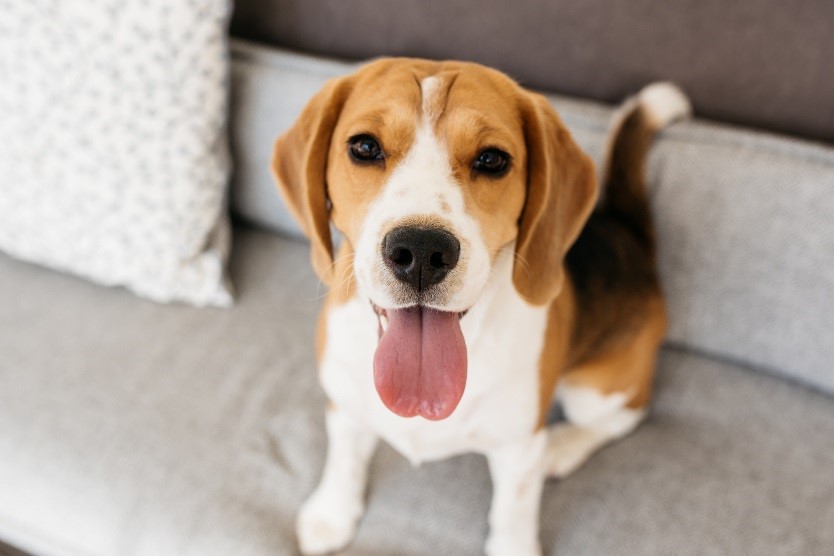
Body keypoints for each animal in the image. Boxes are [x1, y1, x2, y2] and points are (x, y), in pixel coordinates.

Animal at [272, 57, 688, 556]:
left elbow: (513, 513)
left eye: (492, 160)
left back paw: (563, 446)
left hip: (591, 392)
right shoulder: (344, 404)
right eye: (365, 147)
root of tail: (627, 233)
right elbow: (345, 459)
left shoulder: (518, 448)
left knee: (628, 412)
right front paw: (332, 513)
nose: (421, 250)